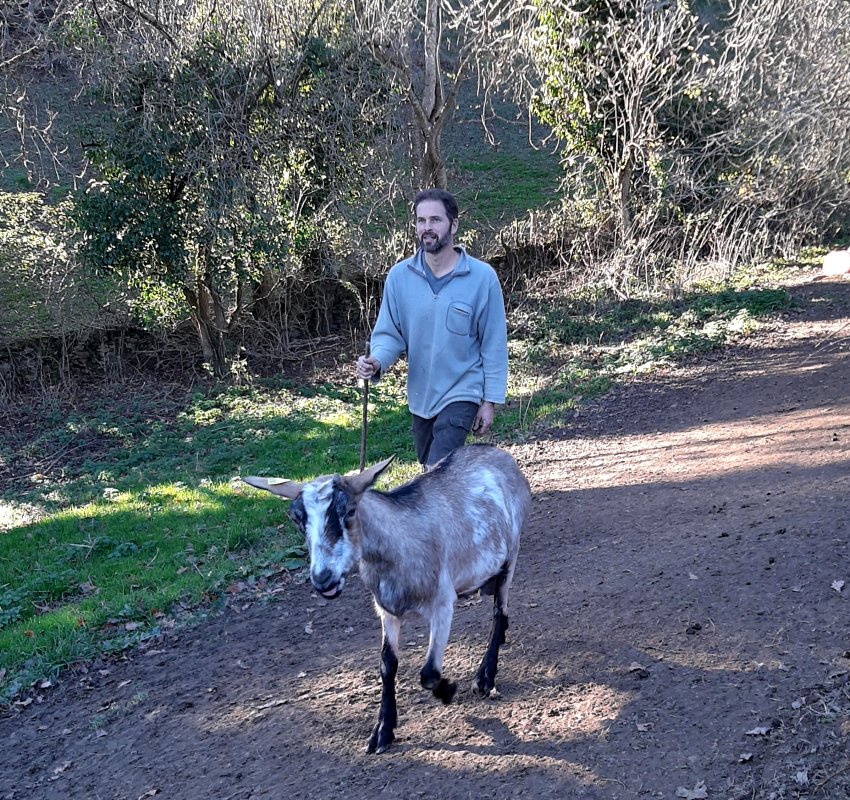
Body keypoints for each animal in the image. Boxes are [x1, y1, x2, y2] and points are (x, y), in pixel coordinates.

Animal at [243, 443, 530, 754]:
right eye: (297, 520)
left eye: (350, 511)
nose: (323, 579)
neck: (397, 544)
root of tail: (499, 454)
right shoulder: (386, 610)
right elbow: (387, 664)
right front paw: (383, 731)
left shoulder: (442, 602)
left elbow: (428, 673)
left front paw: (448, 690)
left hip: (511, 555)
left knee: (498, 611)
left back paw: (485, 677)